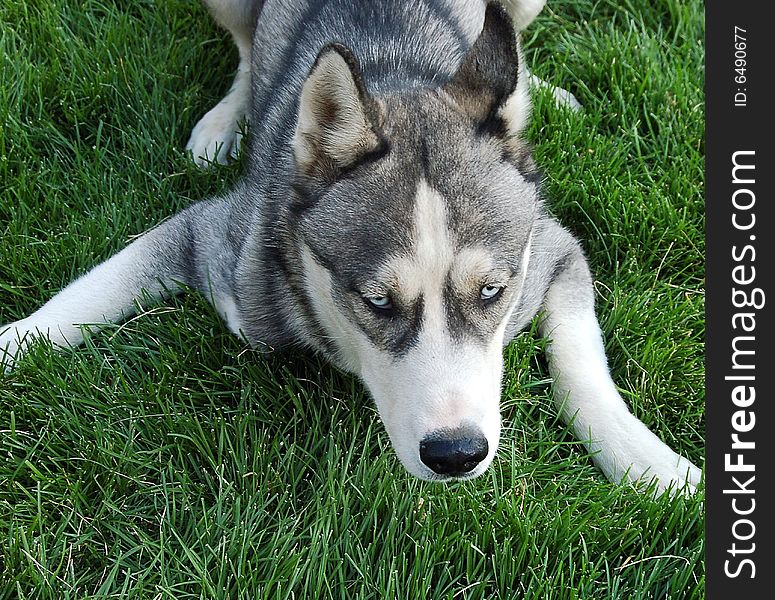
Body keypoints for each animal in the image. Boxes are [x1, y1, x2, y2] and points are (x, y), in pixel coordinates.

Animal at [1, 0, 704, 492]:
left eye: (492, 292)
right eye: (377, 300)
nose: (456, 454)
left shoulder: (553, 250)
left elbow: (583, 372)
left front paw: (650, 465)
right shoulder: (217, 241)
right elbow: (92, 290)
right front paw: (17, 339)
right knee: (248, 50)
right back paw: (228, 119)